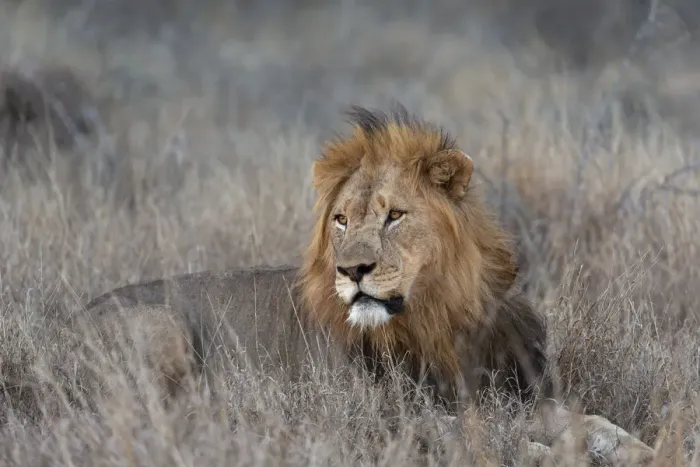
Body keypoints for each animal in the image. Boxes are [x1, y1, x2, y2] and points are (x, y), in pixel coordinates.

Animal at [82, 104, 655, 465]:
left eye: (394, 216)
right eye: (340, 221)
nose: (351, 270)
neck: (438, 321)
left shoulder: (512, 391)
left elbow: (592, 420)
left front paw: (642, 451)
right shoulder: (396, 417)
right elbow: (491, 439)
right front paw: (550, 455)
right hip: (161, 332)